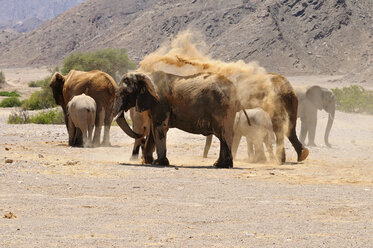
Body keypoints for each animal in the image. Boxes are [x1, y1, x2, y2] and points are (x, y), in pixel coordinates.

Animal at [112, 70, 248, 170]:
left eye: (125, 93)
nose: (142, 136)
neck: (145, 75)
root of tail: (235, 91)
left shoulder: (160, 103)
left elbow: (159, 128)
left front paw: (158, 163)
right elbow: (152, 131)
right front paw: (147, 162)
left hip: (222, 107)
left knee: (223, 135)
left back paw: (222, 165)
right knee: (223, 136)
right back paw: (220, 165)